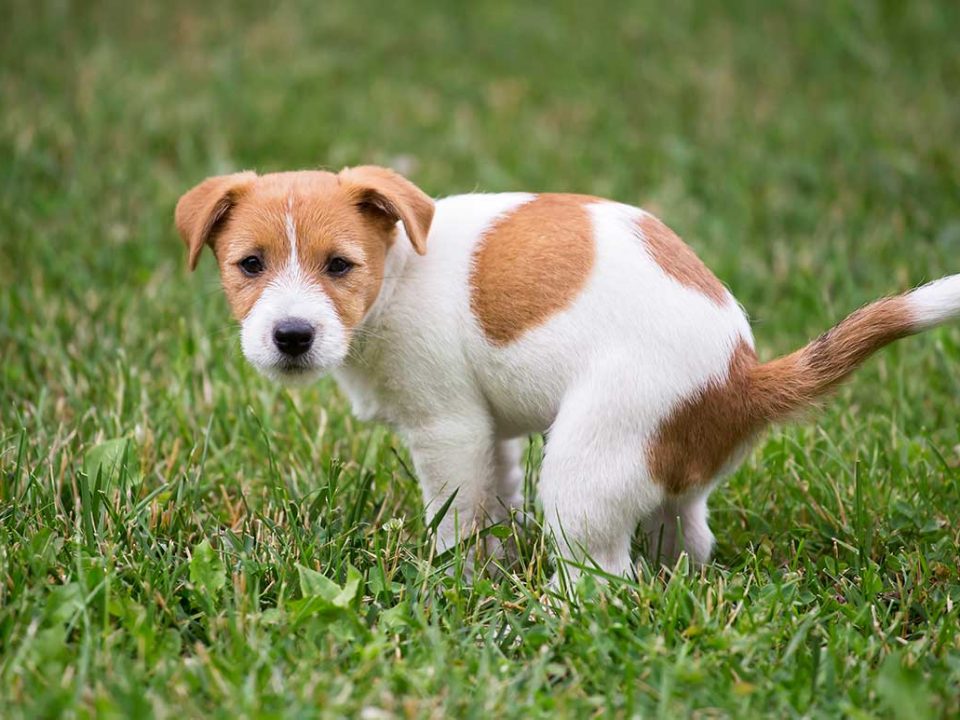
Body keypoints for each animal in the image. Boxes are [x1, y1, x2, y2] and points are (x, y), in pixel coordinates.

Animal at [176, 166, 960, 584]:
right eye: (250, 264)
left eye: (340, 265)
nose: (292, 336)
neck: (398, 271)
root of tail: (742, 378)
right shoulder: (488, 434)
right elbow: (494, 497)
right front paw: (492, 560)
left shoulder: (448, 429)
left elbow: (458, 516)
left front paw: (459, 583)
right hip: (665, 474)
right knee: (684, 540)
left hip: (586, 468)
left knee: (605, 577)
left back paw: (555, 610)